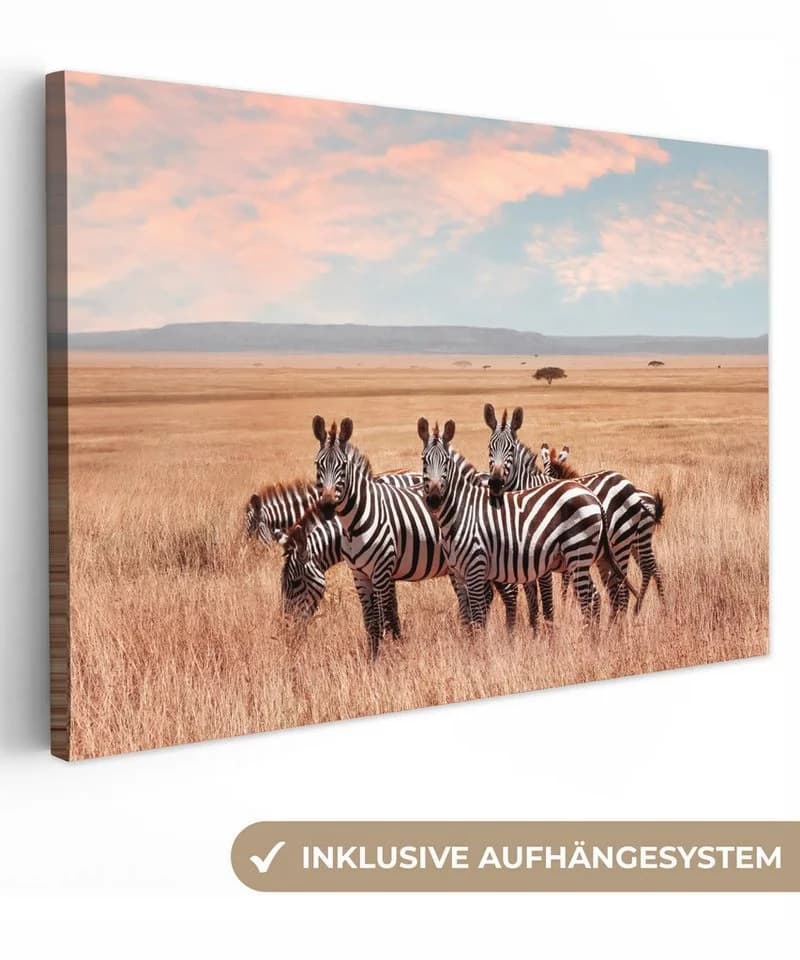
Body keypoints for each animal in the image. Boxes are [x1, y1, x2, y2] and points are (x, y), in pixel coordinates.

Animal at [417, 416, 638, 629]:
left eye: (446, 462)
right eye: (423, 461)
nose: (434, 500)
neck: (462, 510)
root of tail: (593, 497)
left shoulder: (477, 568)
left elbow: (479, 617)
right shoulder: (460, 572)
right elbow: (469, 617)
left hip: (586, 550)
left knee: (595, 596)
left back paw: (594, 636)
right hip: (592, 555)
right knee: (603, 594)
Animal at [545, 445, 666, 613]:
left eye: (550, 474)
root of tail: (648, 499)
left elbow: (567, 581)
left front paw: (566, 605)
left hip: (639, 539)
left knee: (651, 568)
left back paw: (657, 607)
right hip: (635, 543)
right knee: (651, 568)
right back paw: (645, 607)